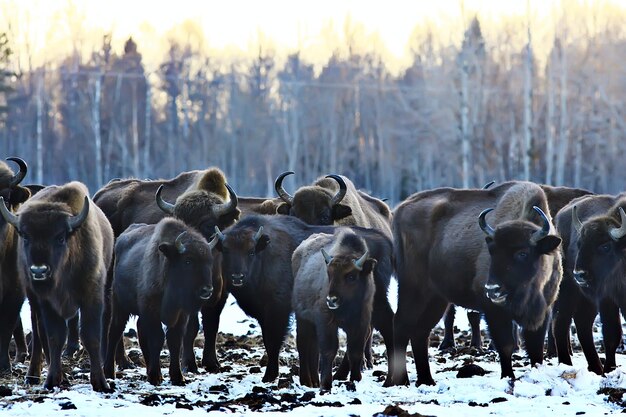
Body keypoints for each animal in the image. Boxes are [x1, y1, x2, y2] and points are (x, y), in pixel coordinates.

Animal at [0, 181, 114, 390]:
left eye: (60, 237)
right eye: (26, 236)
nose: (39, 271)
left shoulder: (92, 297)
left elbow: (91, 336)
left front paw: (100, 382)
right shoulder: (46, 302)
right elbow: (54, 337)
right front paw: (52, 379)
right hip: (33, 300)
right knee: (39, 335)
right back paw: (33, 375)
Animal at [103, 218, 216, 384]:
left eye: (210, 262)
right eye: (188, 261)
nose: (207, 290)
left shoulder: (180, 315)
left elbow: (174, 341)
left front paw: (177, 377)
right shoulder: (152, 311)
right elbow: (157, 339)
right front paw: (155, 376)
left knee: (139, 331)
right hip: (119, 305)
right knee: (115, 332)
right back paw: (109, 372)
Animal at [292, 229, 376, 392]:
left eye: (351, 276)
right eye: (329, 274)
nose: (331, 300)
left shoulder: (361, 322)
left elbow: (355, 351)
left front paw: (355, 379)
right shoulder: (326, 322)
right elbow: (329, 350)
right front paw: (325, 384)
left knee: (312, 347)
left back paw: (314, 380)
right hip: (303, 318)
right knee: (303, 344)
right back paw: (306, 381)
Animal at [390, 180, 560, 386]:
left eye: (523, 253)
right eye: (492, 251)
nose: (493, 289)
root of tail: (400, 209)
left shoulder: (542, 311)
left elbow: (536, 348)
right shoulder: (493, 310)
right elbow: (505, 344)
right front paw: (508, 376)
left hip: (436, 298)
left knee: (420, 332)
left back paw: (426, 380)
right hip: (413, 289)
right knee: (401, 325)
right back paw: (400, 380)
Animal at [552, 193, 624, 372]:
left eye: (605, 246)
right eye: (579, 244)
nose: (579, 275)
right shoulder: (607, 299)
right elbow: (612, 334)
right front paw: (610, 368)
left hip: (585, 300)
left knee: (583, 324)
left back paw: (595, 367)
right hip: (567, 292)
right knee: (561, 323)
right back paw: (567, 363)